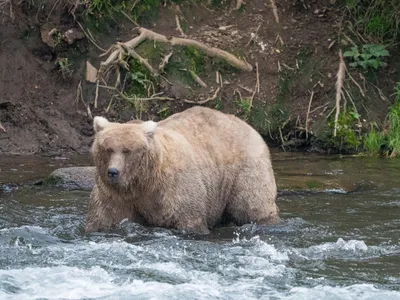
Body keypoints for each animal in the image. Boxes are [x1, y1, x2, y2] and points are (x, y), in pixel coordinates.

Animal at [84, 106, 278, 236]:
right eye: (108, 149)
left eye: (127, 150)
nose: (113, 172)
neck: (143, 182)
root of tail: (248, 126)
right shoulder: (115, 195)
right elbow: (103, 218)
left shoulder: (174, 188)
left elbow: (189, 218)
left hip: (244, 170)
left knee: (252, 204)